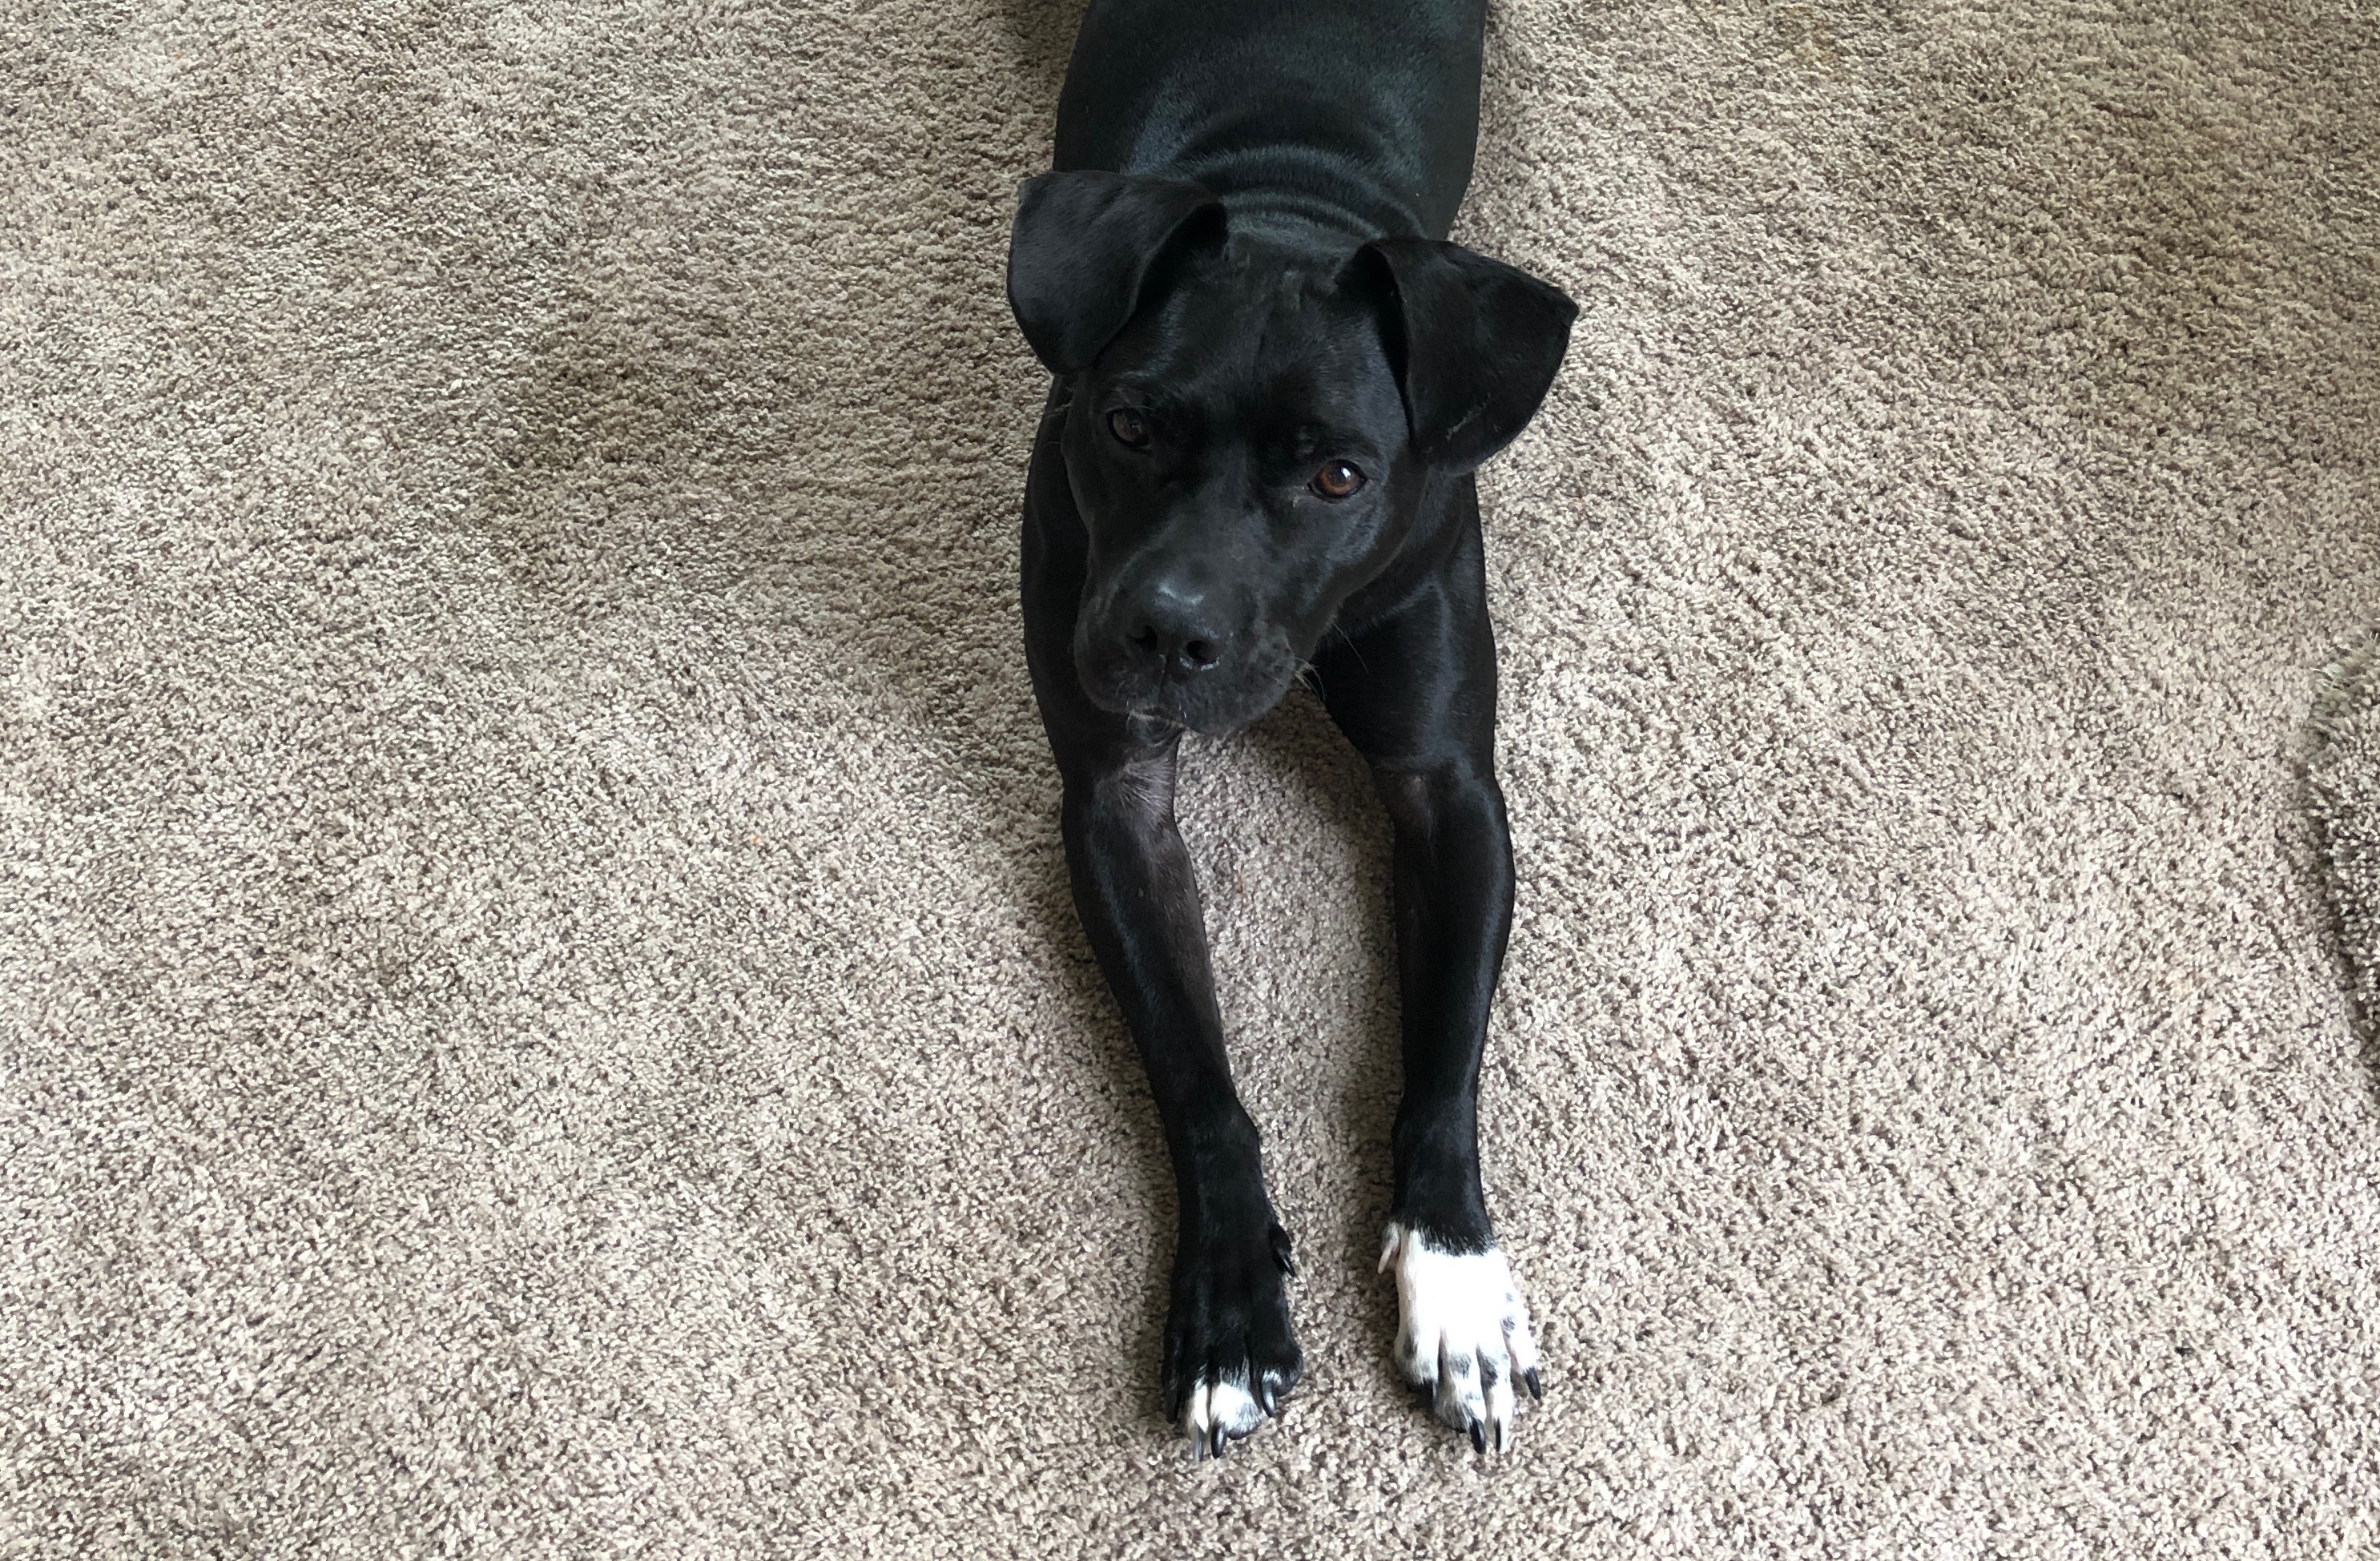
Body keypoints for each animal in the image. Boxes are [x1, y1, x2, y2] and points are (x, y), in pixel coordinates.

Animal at [1005, 0, 1576, 1458]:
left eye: (1338, 475)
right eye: (1128, 422)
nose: (1165, 633)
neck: (1286, 214)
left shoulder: (1447, 787)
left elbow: (1442, 1062)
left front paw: (1454, 1274)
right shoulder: (1118, 798)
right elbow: (1198, 1081)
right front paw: (1226, 1303)